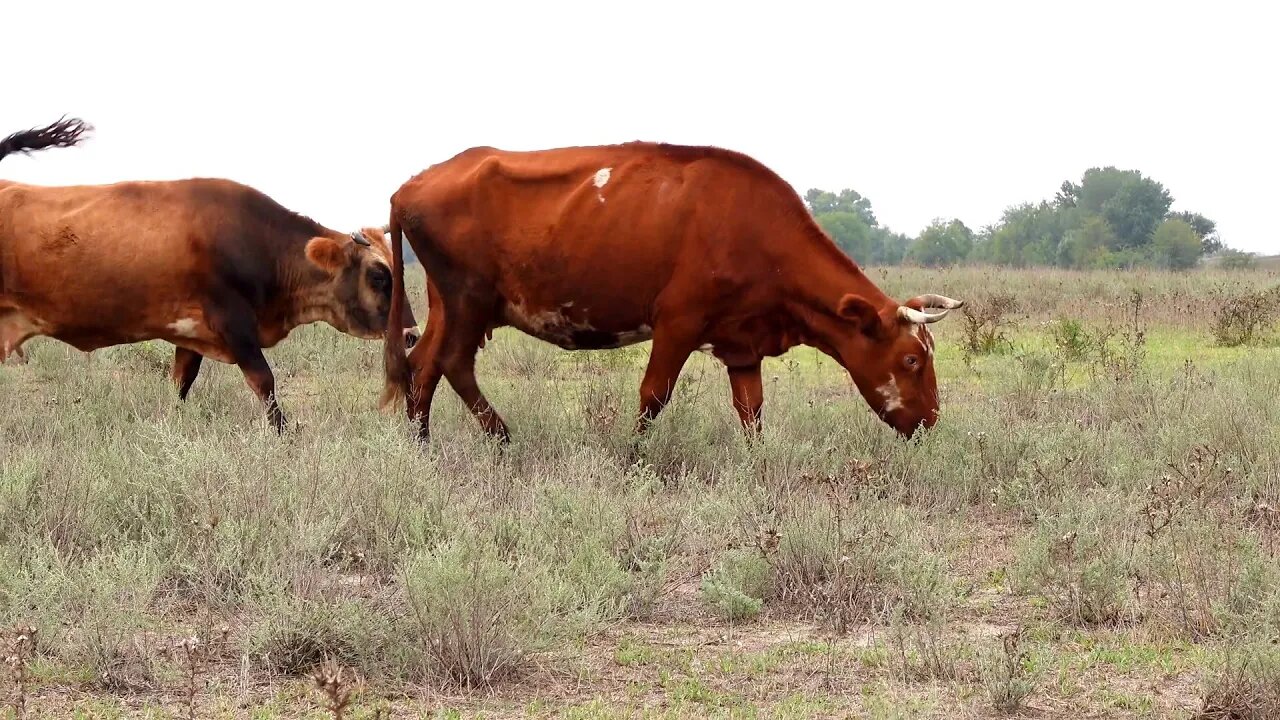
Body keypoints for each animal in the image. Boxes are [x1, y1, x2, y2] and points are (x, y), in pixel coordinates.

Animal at [0, 115, 419, 427]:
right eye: (379, 276)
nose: (412, 334)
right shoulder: (234, 324)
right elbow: (265, 383)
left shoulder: (190, 333)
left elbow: (180, 384)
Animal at [378, 142, 962, 440]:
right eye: (912, 360)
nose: (931, 421)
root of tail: (411, 185)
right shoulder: (677, 323)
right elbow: (653, 395)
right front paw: (632, 458)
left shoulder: (741, 343)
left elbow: (752, 410)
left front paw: (758, 464)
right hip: (467, 300)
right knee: (446, 363)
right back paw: (483, 439)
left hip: (448, 303)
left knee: (427, 364)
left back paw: (437, 444)